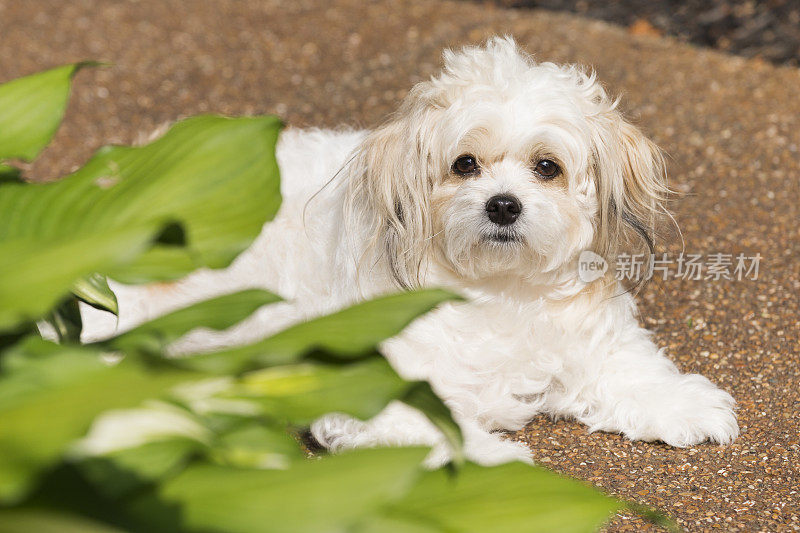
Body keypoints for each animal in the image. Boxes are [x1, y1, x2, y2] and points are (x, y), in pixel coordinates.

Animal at [81, 36, 736, 466]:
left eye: (547, 167)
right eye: (464, 164)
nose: (503, 205)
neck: (498, 290)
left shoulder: (591, 343)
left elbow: (635, 373)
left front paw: (685, 405)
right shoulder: (373, 389)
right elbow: (437, 426)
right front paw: (496, 462)